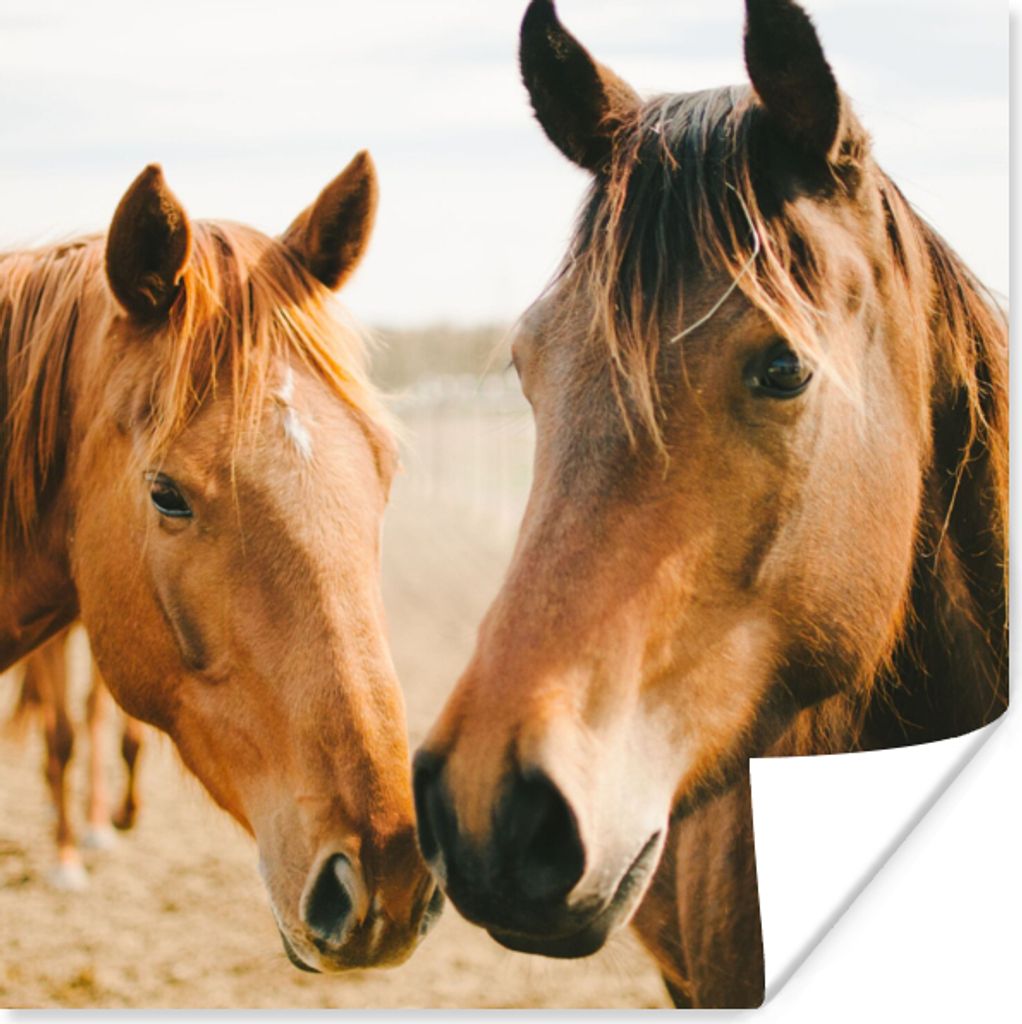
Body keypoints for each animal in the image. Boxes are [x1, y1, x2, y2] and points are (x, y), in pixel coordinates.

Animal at [9, 624, 144, 890]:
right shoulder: (48, 643)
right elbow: (62, 740)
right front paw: (66, 860)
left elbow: (132, 739)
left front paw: (125, 815)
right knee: (48, 714)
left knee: (93, 712)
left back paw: (97, 821)